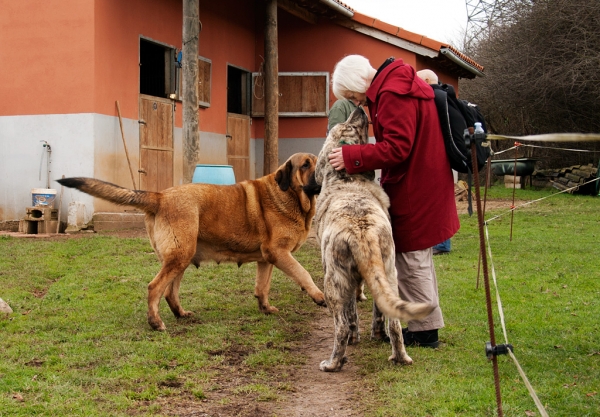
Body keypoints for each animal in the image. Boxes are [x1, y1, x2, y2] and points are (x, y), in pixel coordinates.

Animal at [58, 151, 326, 330]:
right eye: (305, 165)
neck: (290, 195)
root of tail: (160, 196)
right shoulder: (278, 253)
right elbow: (303, 273)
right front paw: (318, 296)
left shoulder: (266, 260)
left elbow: (262, 287)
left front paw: (265, 308)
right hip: (180, 255)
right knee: (155, 287)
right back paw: (155, 322)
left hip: (182, 257)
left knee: (169, 292)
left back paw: (180, 314)